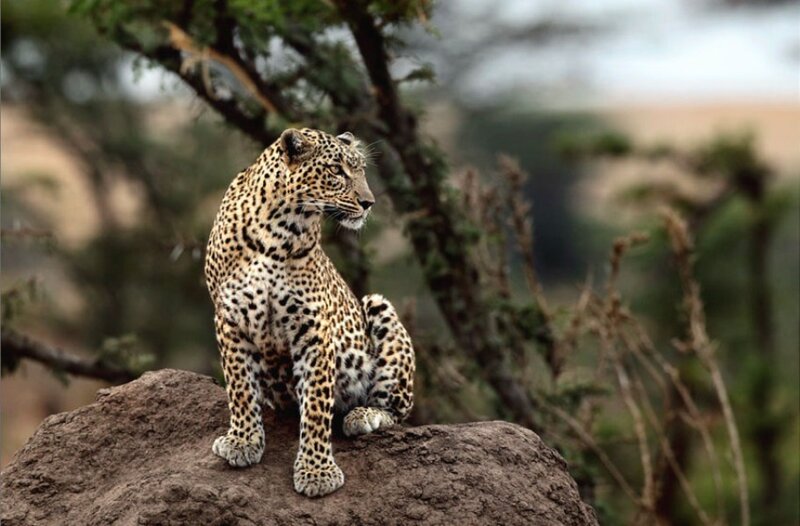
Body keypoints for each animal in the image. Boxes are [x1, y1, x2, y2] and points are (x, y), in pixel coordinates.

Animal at [204, 127, 415, 498]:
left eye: (360, 170)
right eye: (336, 171)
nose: (369, 203)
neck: (277, 231)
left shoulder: (313, 329)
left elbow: (317, 406)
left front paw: (317, 472)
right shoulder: (229, 318)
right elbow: (240, 386)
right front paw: (242, 441)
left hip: (378, 306)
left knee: (397, 411)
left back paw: (364, 416)